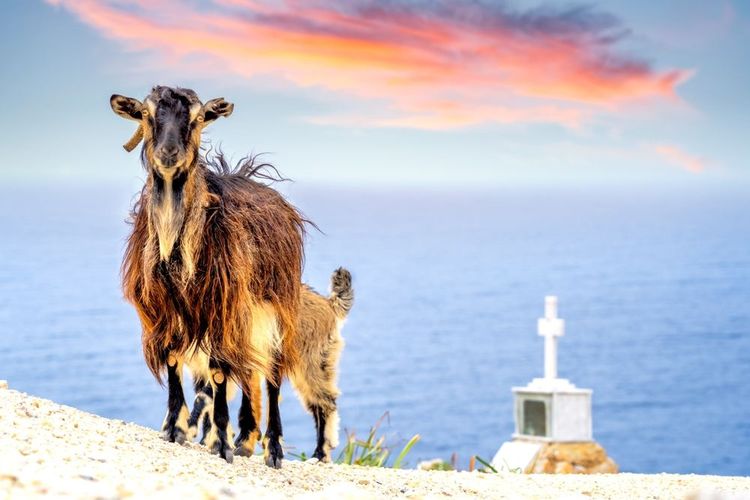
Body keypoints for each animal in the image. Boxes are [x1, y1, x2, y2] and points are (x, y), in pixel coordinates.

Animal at [111, 86, 305, 467]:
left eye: (199, 117)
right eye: (146, 114)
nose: (168, 153)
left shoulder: (221, 307)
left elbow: (218, 372)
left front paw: (222, 445)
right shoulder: (164, 309)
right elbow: (174, 359)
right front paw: (177, 429)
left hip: (276, 307)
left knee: (271, 373)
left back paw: (271, 449)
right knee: (247, 367)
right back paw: (244, 438)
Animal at [187, 267, 353, 463]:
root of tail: (329, 305)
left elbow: (203, 397)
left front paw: (189, 428)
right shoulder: (201, 370)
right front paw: (208, 441)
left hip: (312, 363)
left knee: (325, 402)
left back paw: (320, 453)